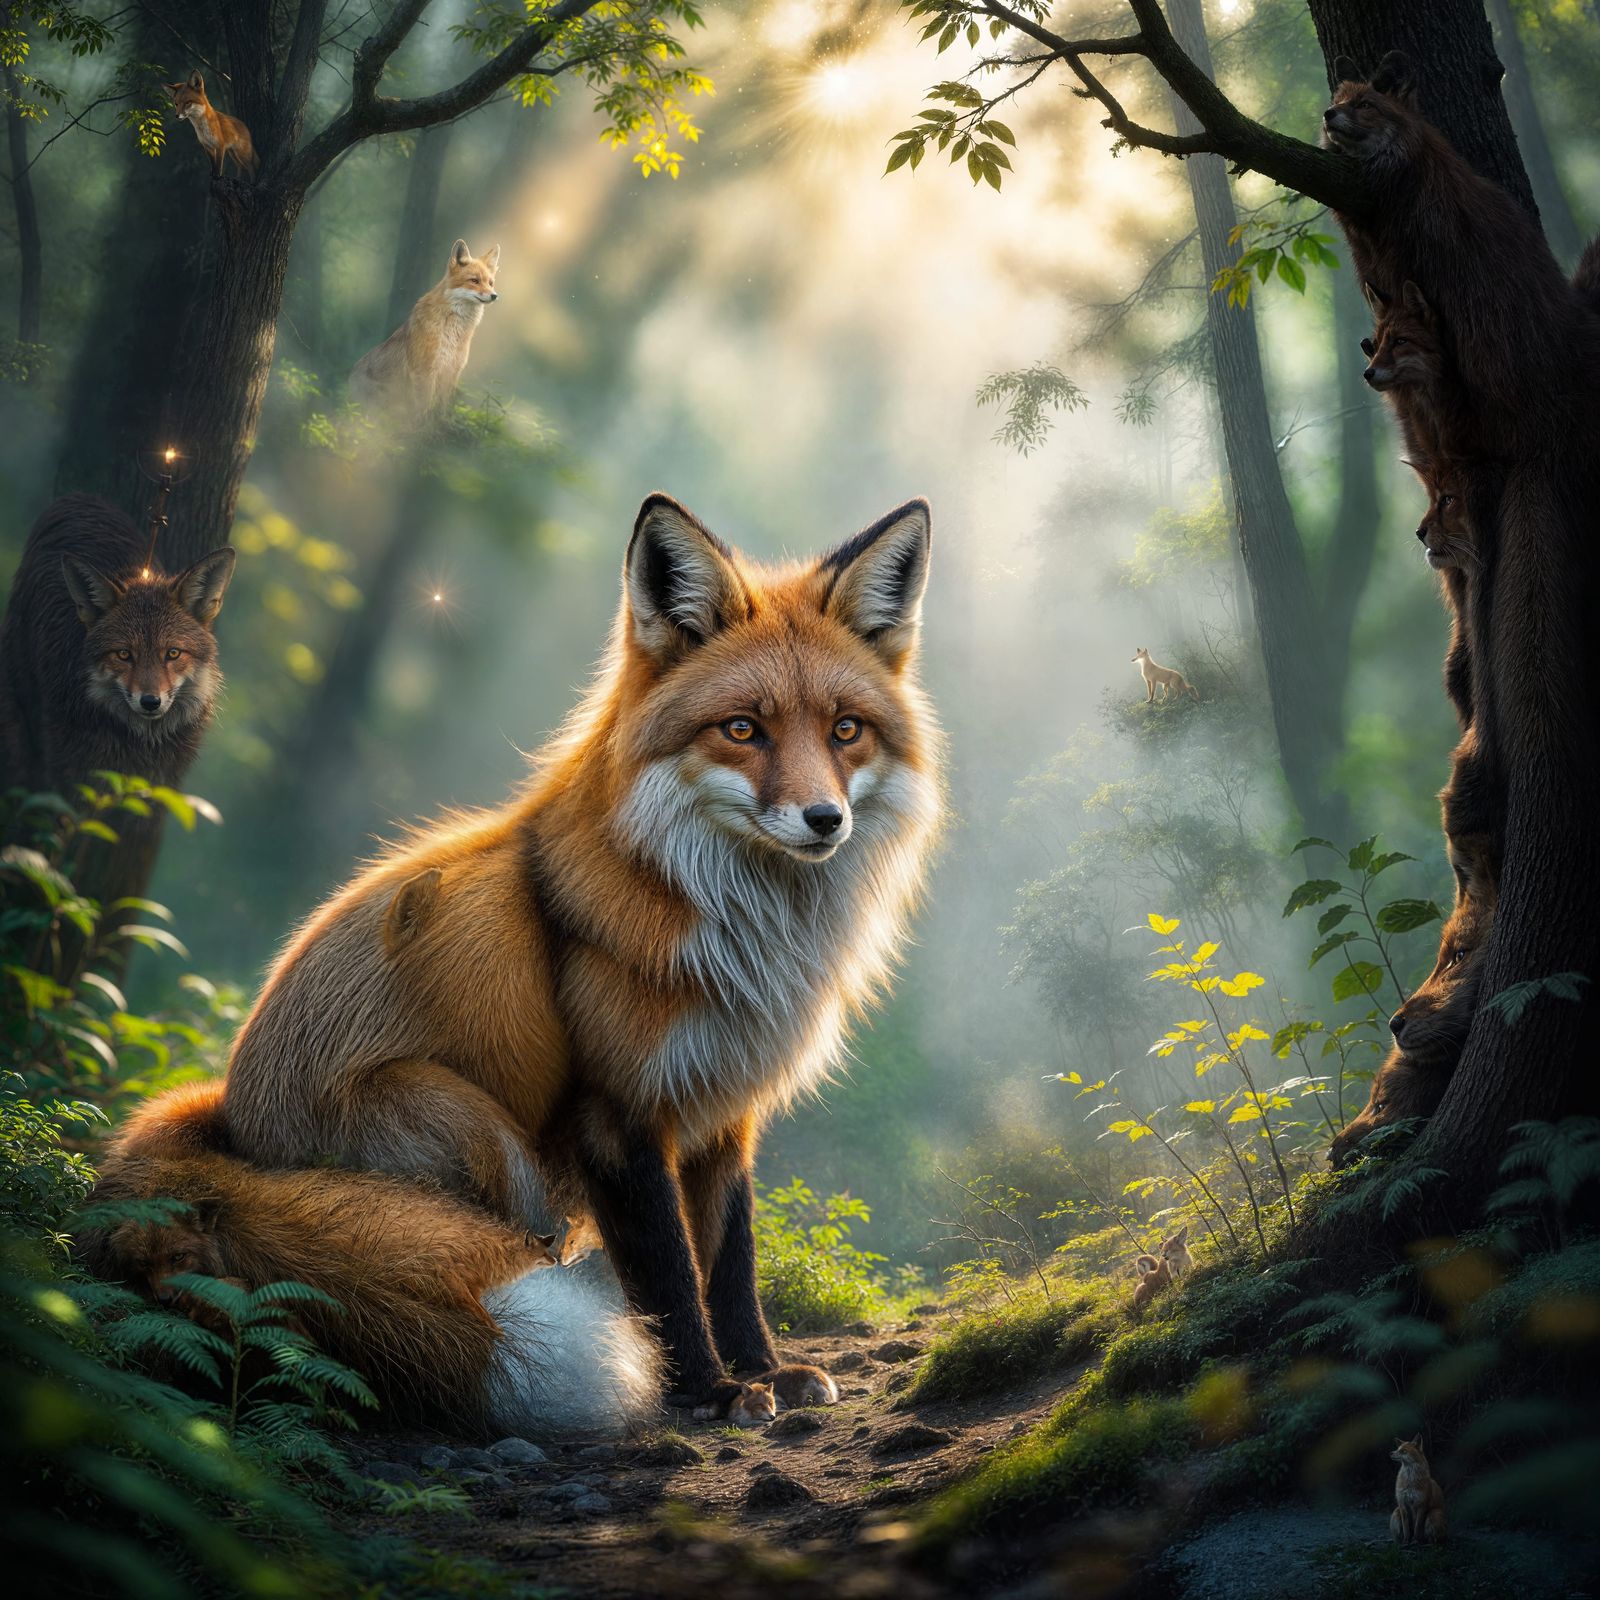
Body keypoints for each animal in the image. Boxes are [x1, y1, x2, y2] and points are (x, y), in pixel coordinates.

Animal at [218, 493, 941, 1402]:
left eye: (846, 730)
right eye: (743, 729)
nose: (825, 820)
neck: (744, 938)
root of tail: (224, 1128)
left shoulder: (723, 1105)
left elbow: (730, 1259)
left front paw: (764, 1369)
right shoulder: (618, 1111)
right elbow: (668, 1273)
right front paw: (706, 1390)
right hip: (475, 1130)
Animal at [350, 238, 501, 424]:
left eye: (490, 283)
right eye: (474, 280)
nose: (494, 295)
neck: (452, 331)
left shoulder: (451, 371)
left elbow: (442, 408)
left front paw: (441, 424)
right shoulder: (425, 370)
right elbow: (424, 407)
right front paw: (421, 427)